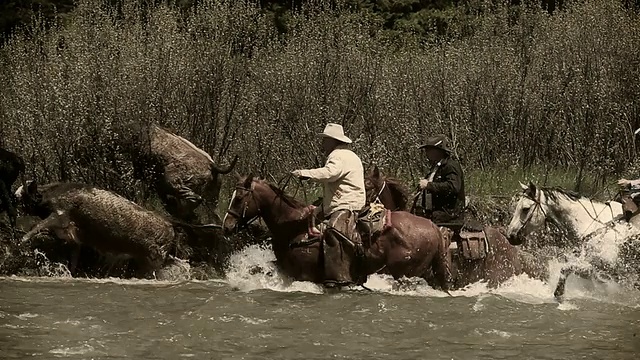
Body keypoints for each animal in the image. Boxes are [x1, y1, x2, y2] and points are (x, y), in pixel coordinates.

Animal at [222, 174, 452, 290]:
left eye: (239, 198)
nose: (227, 226)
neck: (295, 227)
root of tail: (433, 227)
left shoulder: (304, 275)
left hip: (404, 273)